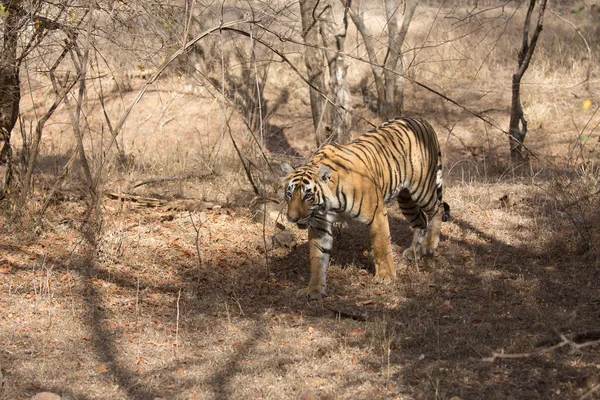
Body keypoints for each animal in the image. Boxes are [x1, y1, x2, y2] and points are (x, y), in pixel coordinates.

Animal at [282, 117, 450, 298]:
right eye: (289, 194)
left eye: (308, 196)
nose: (292, 218)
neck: (327, 204)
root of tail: (423, 121)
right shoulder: (319, 225)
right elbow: (317, 258)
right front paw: (314, 289)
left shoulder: (377, 213)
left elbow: (381, 245)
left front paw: (386, 276)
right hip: (406, 200)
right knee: (421, 221)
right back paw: (414, 252)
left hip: (421, 189)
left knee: (438, 209)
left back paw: (430, 244)